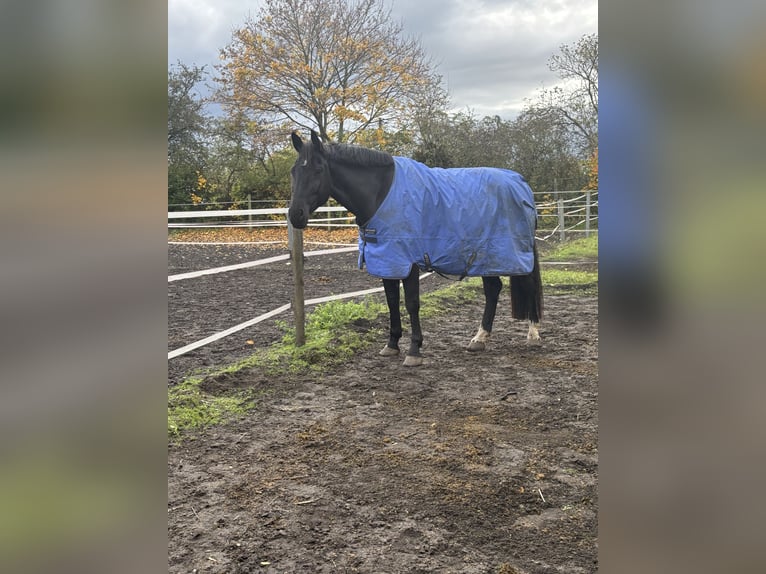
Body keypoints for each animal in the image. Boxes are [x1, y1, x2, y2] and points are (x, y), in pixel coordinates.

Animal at [289, 130, 543, 367]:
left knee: (528, 287)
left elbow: (411, 304)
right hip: (486, 258)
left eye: (318, 169)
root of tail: (521, 183)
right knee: (493, 290)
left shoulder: (408, 262)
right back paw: (479, 339)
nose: (295, 215)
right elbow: (392, 301)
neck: (381, 194)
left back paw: (532, 335)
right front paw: (391, 345)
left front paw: (414, 351)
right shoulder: (388, 261)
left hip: (512, 254)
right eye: (294, 171)